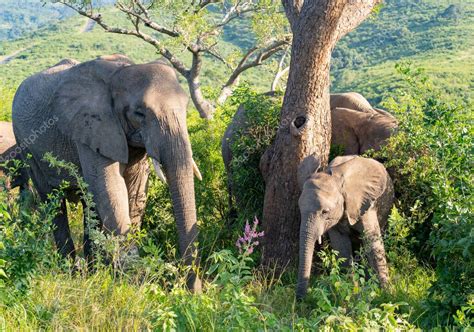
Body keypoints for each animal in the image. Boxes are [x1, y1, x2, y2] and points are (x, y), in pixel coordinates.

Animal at [12, 55, 202, 292]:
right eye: (139, 113)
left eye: (186, 107)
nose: (193, 291)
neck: (121, 71)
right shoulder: (90, 126)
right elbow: (112, 192)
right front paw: (135, 283)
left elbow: (135, 193)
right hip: (25, 145)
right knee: (53, 201)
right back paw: (71, 272)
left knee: (89, 205)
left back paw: (93, 271)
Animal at [296, 155, 392, 298]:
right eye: (300, 209)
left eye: (325, 212)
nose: (300, 300)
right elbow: (341, 246)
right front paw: (352, 290)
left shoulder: (366, 204)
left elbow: (373, 243)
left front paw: (386, 294)